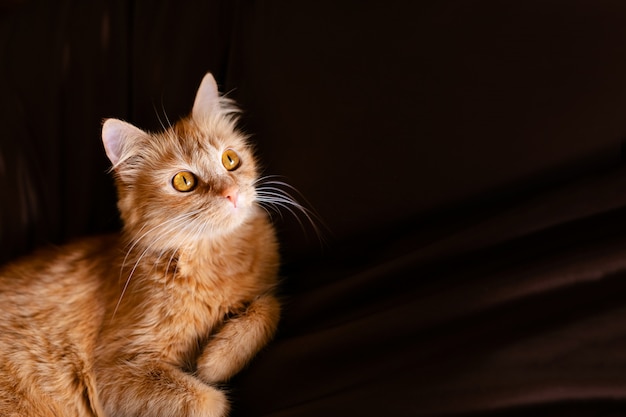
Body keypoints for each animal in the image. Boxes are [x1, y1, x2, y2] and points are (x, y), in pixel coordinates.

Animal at [0, 73, 280, 414]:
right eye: (184, 181)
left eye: (230, 160)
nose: (231, 193)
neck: (215, 262)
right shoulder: (112, 375)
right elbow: (209, 400)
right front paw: (210, 369)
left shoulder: (264, 293)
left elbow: (269, 306)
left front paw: (216, 358)